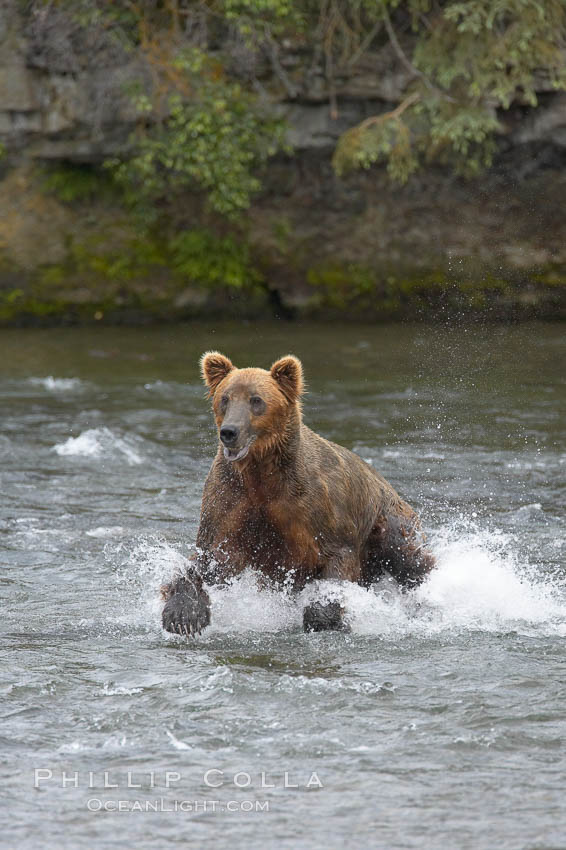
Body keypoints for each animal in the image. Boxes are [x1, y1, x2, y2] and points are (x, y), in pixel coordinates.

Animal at [162, 352, 438, 636]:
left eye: (256, 400)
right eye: (225, 398)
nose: (229, 432)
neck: (261, 473)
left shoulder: (314, 508)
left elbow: (336, 561)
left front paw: (324, 618)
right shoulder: (231, 499)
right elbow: (209, 558)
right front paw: (183, 616)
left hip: (387, 521)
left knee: (409, 559)